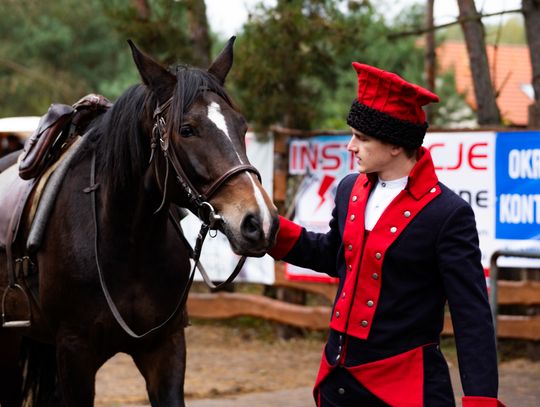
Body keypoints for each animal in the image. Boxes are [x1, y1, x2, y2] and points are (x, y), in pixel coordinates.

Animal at [0, 37, 279, 406]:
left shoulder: (166, 348)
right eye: (187, 130)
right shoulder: (74, 352)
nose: (259, 221)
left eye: (242, 127)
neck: (127, 245)